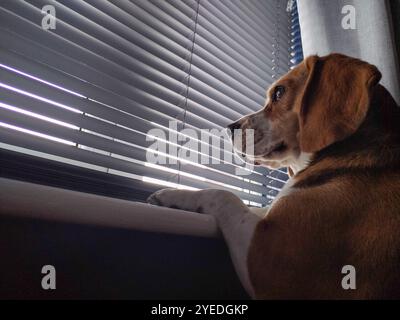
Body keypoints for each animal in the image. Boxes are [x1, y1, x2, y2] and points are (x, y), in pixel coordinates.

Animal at [148, 53, 400, 298]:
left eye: (279, 92)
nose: (229, 128)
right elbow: (249, 206)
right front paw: (172, 195)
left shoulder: (266, 258)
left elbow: (224, 196)